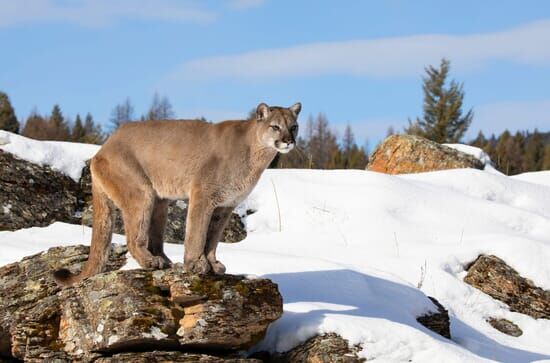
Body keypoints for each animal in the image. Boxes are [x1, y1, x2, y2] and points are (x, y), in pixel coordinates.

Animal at [55, 101, 302, 286]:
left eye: (294, 126)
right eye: (275, 127)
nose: (289, 141)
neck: (256, 152)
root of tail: (103, 148)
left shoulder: (225, 206)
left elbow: (212, 238)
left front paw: (213, 264)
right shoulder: (203, 195)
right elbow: (197, 233)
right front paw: (195, 264)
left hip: (160, 202)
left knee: (155, 239)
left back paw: (165, 261)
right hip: (141, 192)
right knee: (134, 237)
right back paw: (151, 262)